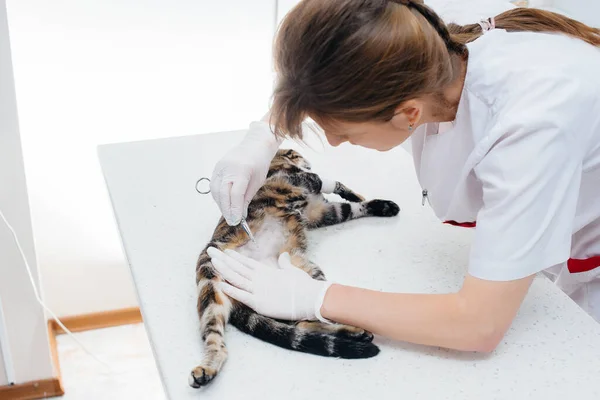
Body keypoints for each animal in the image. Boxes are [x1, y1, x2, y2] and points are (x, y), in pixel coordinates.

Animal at [190, 148, 400, 388]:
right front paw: (351, 192)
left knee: (303, 321)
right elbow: (327, 181)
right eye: (297, 153)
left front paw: (381, 205)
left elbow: (350, 206)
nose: (307, 160)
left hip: (304, 273)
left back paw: (354, 332)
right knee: (216, 338)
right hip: (210, 286)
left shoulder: (323, 210)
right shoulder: (305, 182)